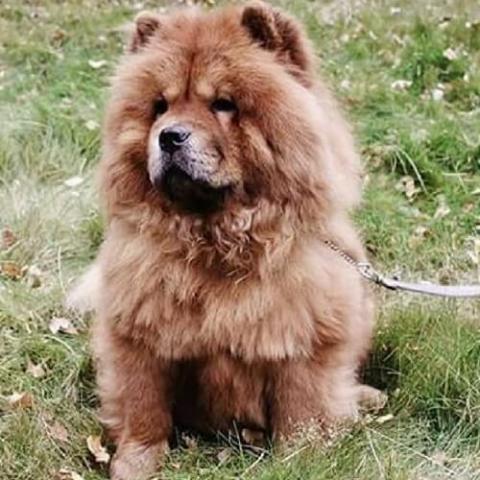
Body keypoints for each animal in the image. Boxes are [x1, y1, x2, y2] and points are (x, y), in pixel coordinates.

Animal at [70, 1, 378, 478]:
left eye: (223, 104)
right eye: (160, 106)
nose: (169, 136)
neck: (216, 238)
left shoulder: (305, 338)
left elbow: (302, 411)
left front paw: (302, 460)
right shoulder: (138, 332)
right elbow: (143, 406)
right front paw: (135, 463)